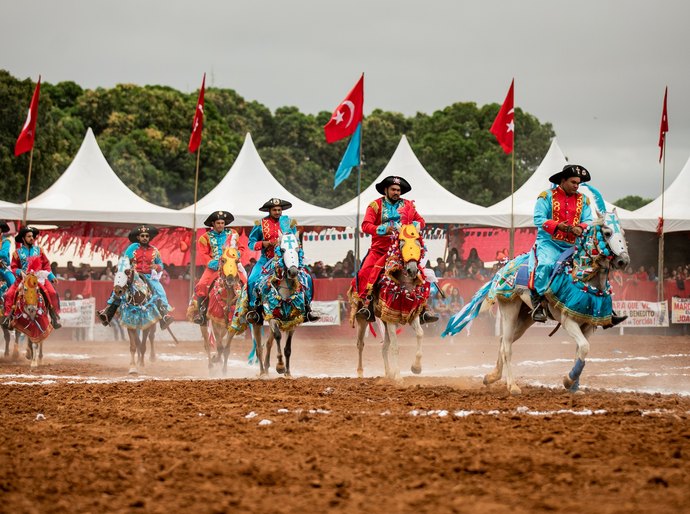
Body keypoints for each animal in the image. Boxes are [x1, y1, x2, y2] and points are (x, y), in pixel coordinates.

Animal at [196, 244, 242, 372]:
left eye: (237, 261)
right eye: (223, 260)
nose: (230, 279)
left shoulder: (232, 325)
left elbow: (226, 349)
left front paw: (224, 370)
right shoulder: (215, 322)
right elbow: (220, 347)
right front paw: (215, 360)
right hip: (204, 323)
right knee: (207, 343)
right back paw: (211, 365)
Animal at [346, 223, 428, 380]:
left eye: (418, 242)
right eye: (401, 243)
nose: (412, 270)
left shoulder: (411, 314)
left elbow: (420, 334)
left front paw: (416, 367)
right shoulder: (391, 318)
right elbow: (395, 347)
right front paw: (399, 377)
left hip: (384, 320)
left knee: (384, 347)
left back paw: (388, 373)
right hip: (362, 318)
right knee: (360, 344)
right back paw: (360, 372)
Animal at [440, 195, 628, 392]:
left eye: (623, 232)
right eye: (607, 232)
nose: (624, 261)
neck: (584, 279)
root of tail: (503, 268)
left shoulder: (589, 324)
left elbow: (580, 351)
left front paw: (574, 386)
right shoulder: (568, 321)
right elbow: (584, 347)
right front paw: (568, 380)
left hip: (525, 317)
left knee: (503, 341)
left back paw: (492, 376)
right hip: (510, 308)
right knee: (507, 346)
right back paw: (512, 386)